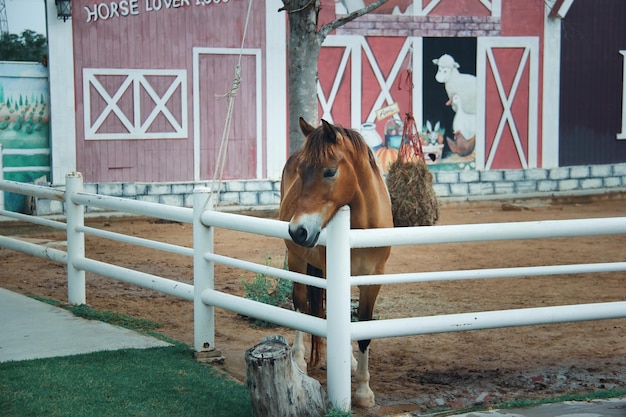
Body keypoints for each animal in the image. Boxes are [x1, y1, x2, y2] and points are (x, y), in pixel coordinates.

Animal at [278, 117, 390, 406]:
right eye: (302, 171)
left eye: (329, 172)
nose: (298, 231)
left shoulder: (373, 281)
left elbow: (363, 329)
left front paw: (363, 390)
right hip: (297, 260)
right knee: (301, 304)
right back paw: (298, 359)